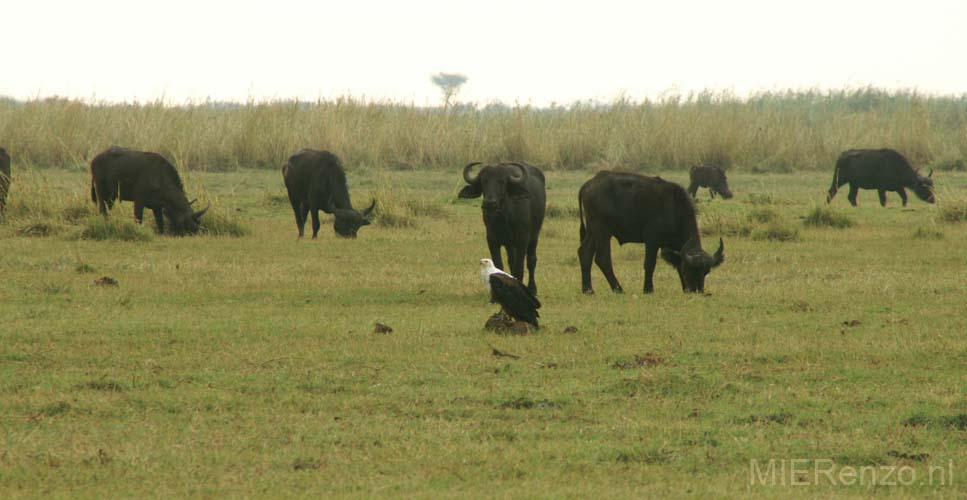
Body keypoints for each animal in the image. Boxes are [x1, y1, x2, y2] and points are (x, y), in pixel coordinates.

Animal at [460, 161, 544, 292]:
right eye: (484, 181)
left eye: (502, 181)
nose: (489, 203)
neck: (504, 218)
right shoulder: (492, 240)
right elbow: (499, 266)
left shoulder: (522, 240)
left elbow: (520, 268)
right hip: (510, 244)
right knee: (511, 260)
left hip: (534, 236)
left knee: (531, 260)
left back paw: (532, 288)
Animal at [580, 170, 724, 294]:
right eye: (691, 270)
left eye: (706, 272)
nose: (697, 290)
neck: (673, 208)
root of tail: (589, 184)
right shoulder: (652, 240)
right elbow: (650, 264)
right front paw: (648, 289)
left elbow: (676, 263)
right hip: (602, 230)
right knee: (602, 258)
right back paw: (618, 289)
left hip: (592, 231)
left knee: (584, 253)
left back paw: (588, 290)